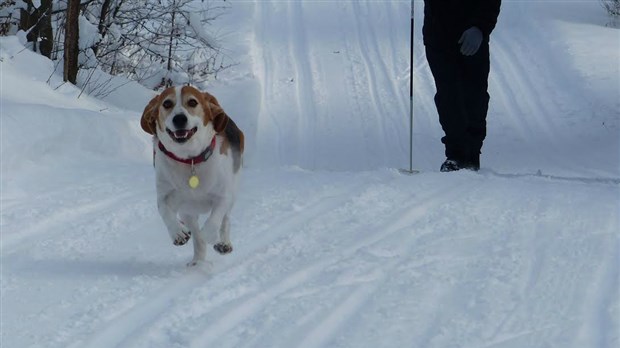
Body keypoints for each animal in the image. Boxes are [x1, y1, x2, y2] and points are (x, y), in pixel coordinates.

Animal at [140, 85, 245, 266]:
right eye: (166, 103)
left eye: (192, 102)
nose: (179, 119)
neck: (190, 160)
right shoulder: (169, 196)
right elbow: (164, 210)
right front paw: (178, 233)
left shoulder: (223, 195)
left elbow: (215, 218)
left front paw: (210, 235)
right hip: (188, 211)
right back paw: (197, 261)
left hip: (234, 186)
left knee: (225, 218)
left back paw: (223, 243)